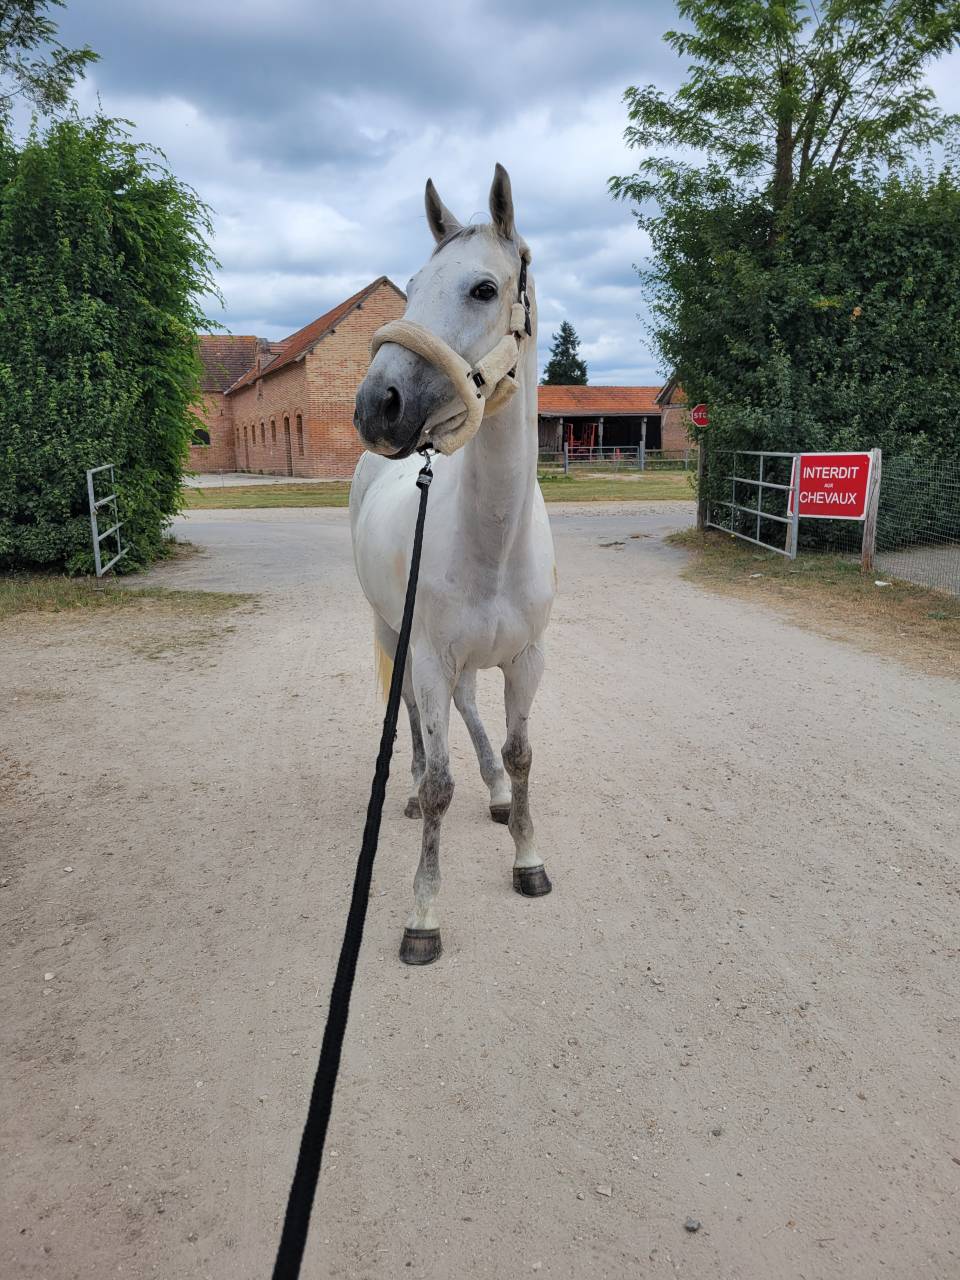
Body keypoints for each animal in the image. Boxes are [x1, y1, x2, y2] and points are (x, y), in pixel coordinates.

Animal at [350, 164, 555, 965]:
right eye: (410, 285)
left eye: (483, 288)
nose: (378, 406)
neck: (493, 543)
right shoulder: (431, 655)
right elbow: (440, 782)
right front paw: (422, 914)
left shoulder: (526, 659)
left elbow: (523, 753)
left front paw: (527, 858)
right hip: (390, 630)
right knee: (410, 715)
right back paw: (406, 789)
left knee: (470, 711)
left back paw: (494, 792)